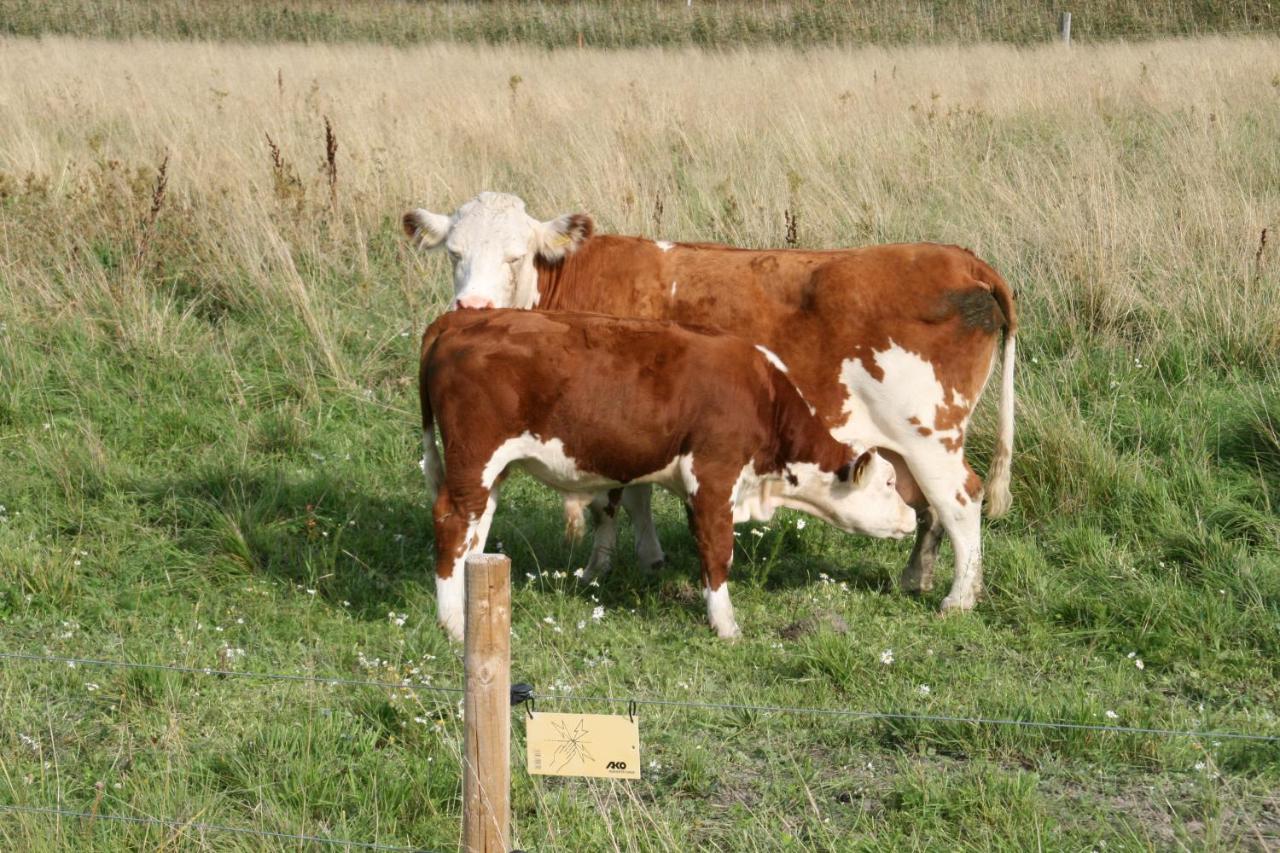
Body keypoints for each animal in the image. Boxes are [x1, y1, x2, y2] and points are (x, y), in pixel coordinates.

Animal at [424, 311, 916, 637]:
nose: (912, 516)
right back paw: (452, 624)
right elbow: (717, 553)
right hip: (474, 458)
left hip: (491, 471)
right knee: (452, 522)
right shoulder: (714, 476)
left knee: (475, 527)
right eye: (890, 483)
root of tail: (459, 320)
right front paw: (726, 627)